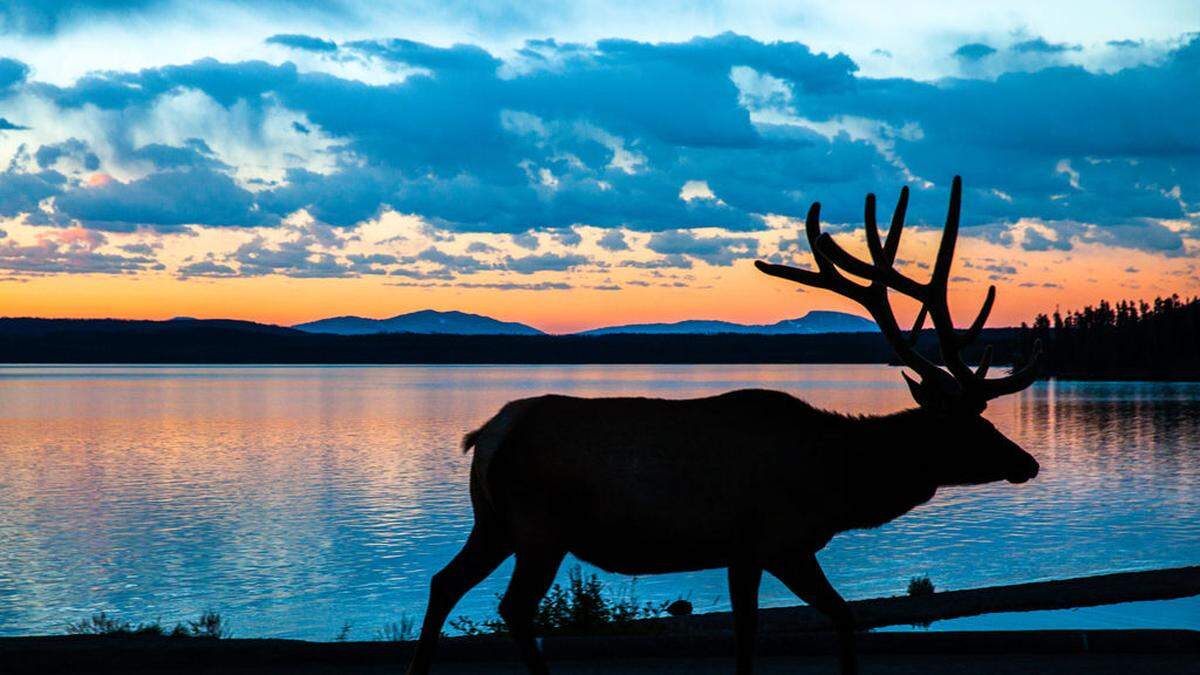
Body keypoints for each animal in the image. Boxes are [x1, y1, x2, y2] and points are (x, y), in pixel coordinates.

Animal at [405, 177, 1041, 672]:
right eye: (970, 427)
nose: (1029, 462)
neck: (839, 482)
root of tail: (487, 435)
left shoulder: (749, 551)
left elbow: (805, 624)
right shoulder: (773, 539)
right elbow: (800, 624)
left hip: (495, 524)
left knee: (444, 582)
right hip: (541, 529)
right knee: (512, 607)